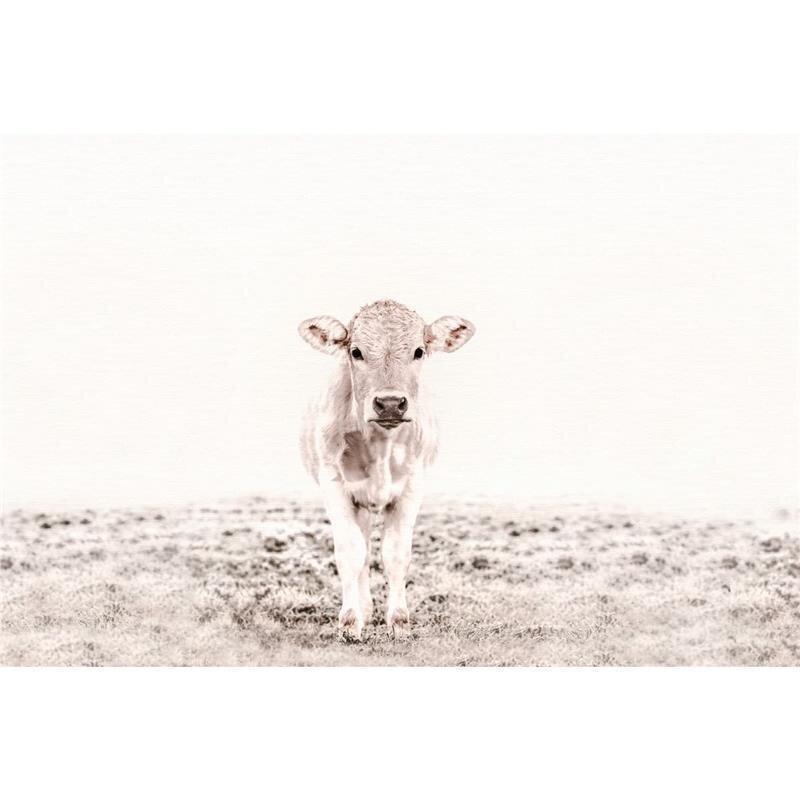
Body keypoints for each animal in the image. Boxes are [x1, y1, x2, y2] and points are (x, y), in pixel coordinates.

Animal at [298, 299, 475, 640]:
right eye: (356, 352)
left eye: (419, 351)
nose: (391, 403)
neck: (380, 445)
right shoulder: (334, 485)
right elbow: (351, 552)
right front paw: (350, 621)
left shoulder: (412, 487)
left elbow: (395, 554)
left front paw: (399, 621)